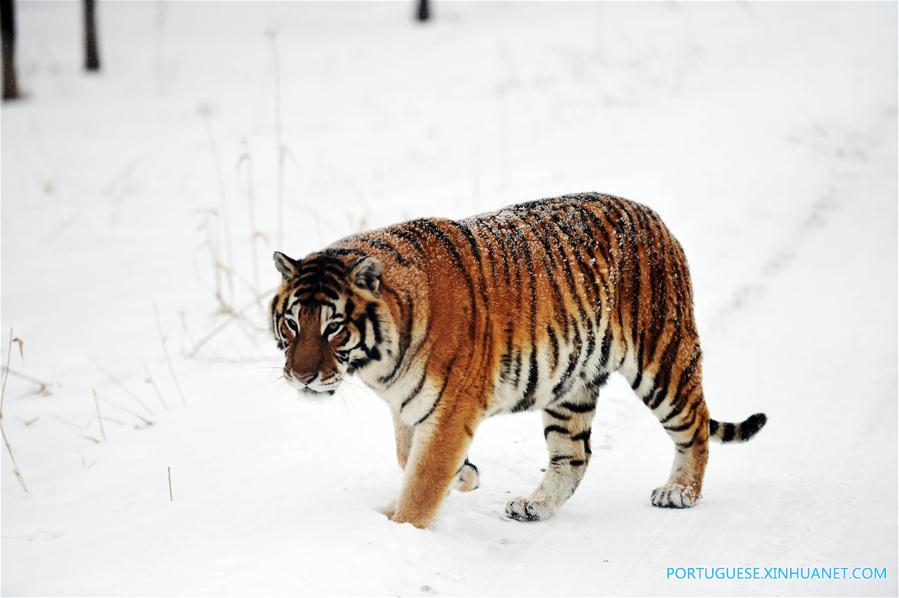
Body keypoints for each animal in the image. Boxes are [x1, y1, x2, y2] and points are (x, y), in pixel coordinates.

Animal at [270, 192, 767, 528]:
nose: (301, 376)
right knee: (574, 456)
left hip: (661, 359)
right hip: (571, 385)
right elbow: (406, 454)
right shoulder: (409, 405)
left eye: (333, 327)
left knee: (695, 425)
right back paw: (535, 505)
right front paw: (465, 476)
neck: (380, 363)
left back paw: (680, 492)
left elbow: (422, 478)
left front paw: (402, 528)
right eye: (292, 324)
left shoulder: (450, 410)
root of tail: (654, 218)